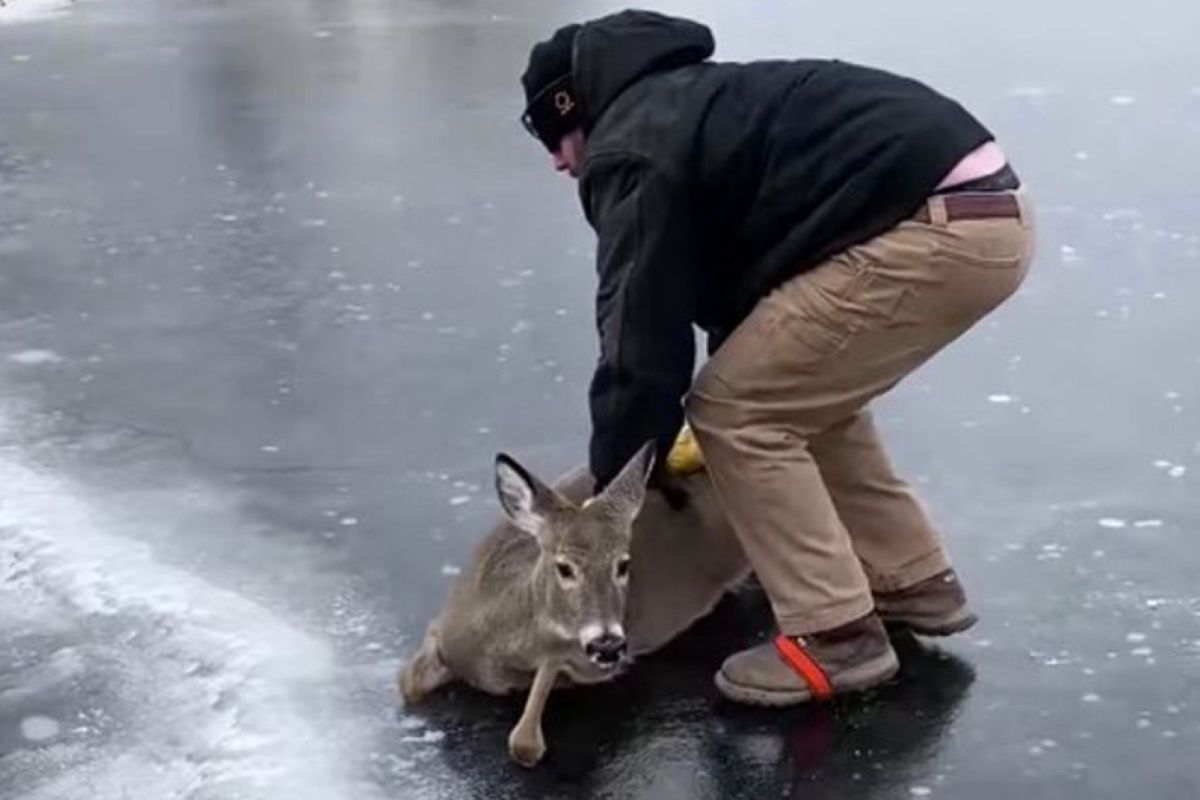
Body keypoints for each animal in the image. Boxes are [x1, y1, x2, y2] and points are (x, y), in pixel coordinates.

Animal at [398, 443, 744, 767]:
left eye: (623, 564)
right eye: (564, 567)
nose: (608, 645)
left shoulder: (578, 660)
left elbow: (525, 742)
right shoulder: (444, 624)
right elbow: (408, 683)